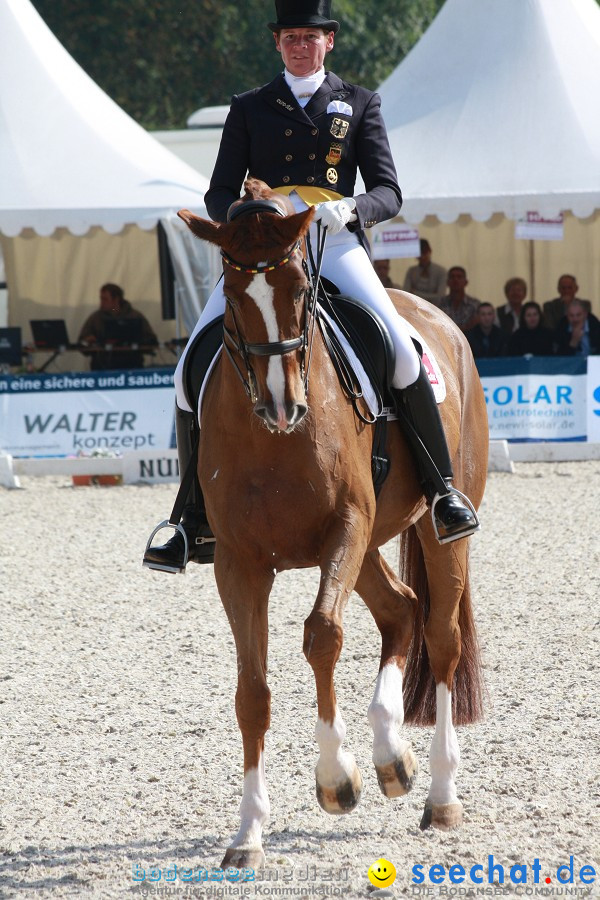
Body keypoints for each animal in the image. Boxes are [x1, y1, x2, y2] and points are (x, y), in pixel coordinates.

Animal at [177, 178, 488, 872]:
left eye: (299, 287)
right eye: (232, 294)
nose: (282, 405)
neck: (272, 441)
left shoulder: (344, 527)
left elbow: (322, 635)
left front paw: (336, 779)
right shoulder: (239, 561)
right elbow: (252, 690)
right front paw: (248, 833)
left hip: (435, 528)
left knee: (442, 636)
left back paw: (440, 794)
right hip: (370, 544)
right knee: (402, 611)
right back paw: (392, 759)